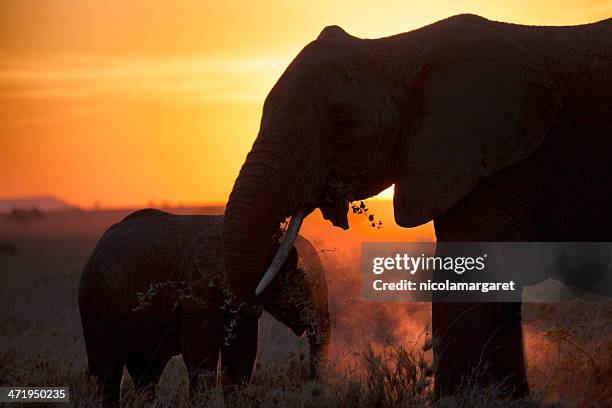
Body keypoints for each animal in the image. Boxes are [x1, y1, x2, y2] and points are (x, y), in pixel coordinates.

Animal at [82, 209, 332, 406]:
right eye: (298, 284)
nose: (312, 389)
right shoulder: (197, 288)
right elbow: (201, 354)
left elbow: (241, 354)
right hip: (94, 297)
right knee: (106, 368)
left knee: (147, 370)